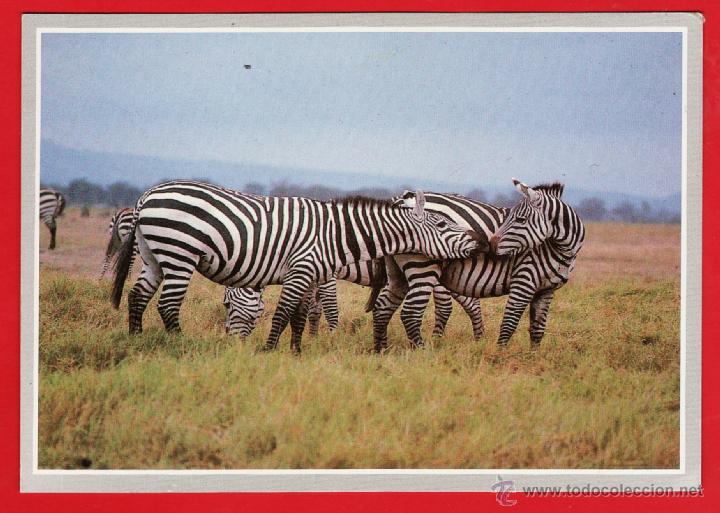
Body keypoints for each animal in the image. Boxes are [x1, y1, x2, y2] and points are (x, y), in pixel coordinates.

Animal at [111, 180, 486, 353]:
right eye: (443, 225)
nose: (476, 241)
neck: (337, 234)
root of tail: (146, 195)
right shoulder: (305, 269)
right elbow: (287, 313)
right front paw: (270, 350)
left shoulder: (311, 275)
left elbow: (301, 315)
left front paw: (295, 350)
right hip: (179, 252)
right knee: (167, 303)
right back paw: (178, 343)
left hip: (153, 255)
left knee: (138, 296)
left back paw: (136, 339)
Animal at [371, 179, 585, 347]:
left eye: (520, 219)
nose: (490, 245)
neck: (562, 249)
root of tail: (402, 201)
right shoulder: (524, 279)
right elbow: (510, 322)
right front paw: (499, 356)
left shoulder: (546, 290)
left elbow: (538, 329)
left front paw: (533, 358)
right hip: (425, 268)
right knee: (418, 311)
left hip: (398, 272)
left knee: (383, 307)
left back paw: (382, 350)